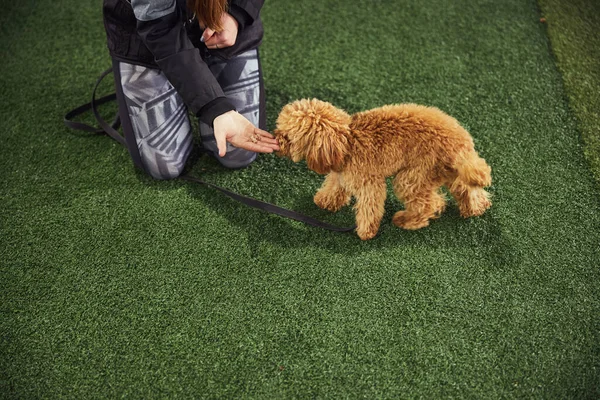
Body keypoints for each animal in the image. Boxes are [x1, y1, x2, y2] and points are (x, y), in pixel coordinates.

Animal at [274, 98, 490, 239]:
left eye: (288, 136)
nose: (276, 138)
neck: (346, 142)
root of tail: (461, 142)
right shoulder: (340, 173)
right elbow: (334, 187)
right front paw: (325, 201)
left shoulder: (369, 182)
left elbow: (369, 206)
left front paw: (366, 232)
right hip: (450, 171)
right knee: (467, 189)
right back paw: (475, 209)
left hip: (414, 175)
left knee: (431, 203)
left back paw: (407, 220)